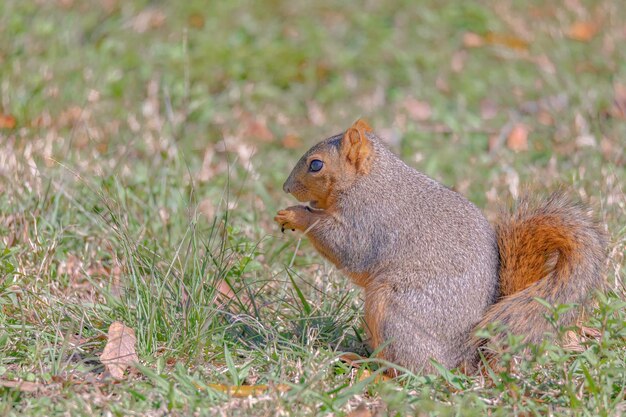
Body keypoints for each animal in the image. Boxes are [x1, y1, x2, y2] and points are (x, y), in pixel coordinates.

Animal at [272, 118, 604, 372]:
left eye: (316, 165)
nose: (285, 187)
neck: (369, 180)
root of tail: (466, 360)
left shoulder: (368, 221)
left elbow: (347, 248)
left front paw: (294, 214)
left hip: (393, 310)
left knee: (409, 370)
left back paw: (371, 370)